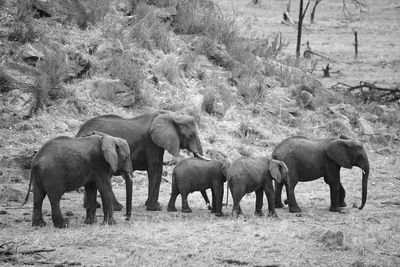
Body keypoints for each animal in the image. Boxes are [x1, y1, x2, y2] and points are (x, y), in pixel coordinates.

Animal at [76, 111, 211, 211]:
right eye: (191, 135)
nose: (209, 207)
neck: (170, 115)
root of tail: (78, 133)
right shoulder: (150, 142)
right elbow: (156, 168)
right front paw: (155, 208)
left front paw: (148, 205)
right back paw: (117, 208)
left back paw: (93, 206)